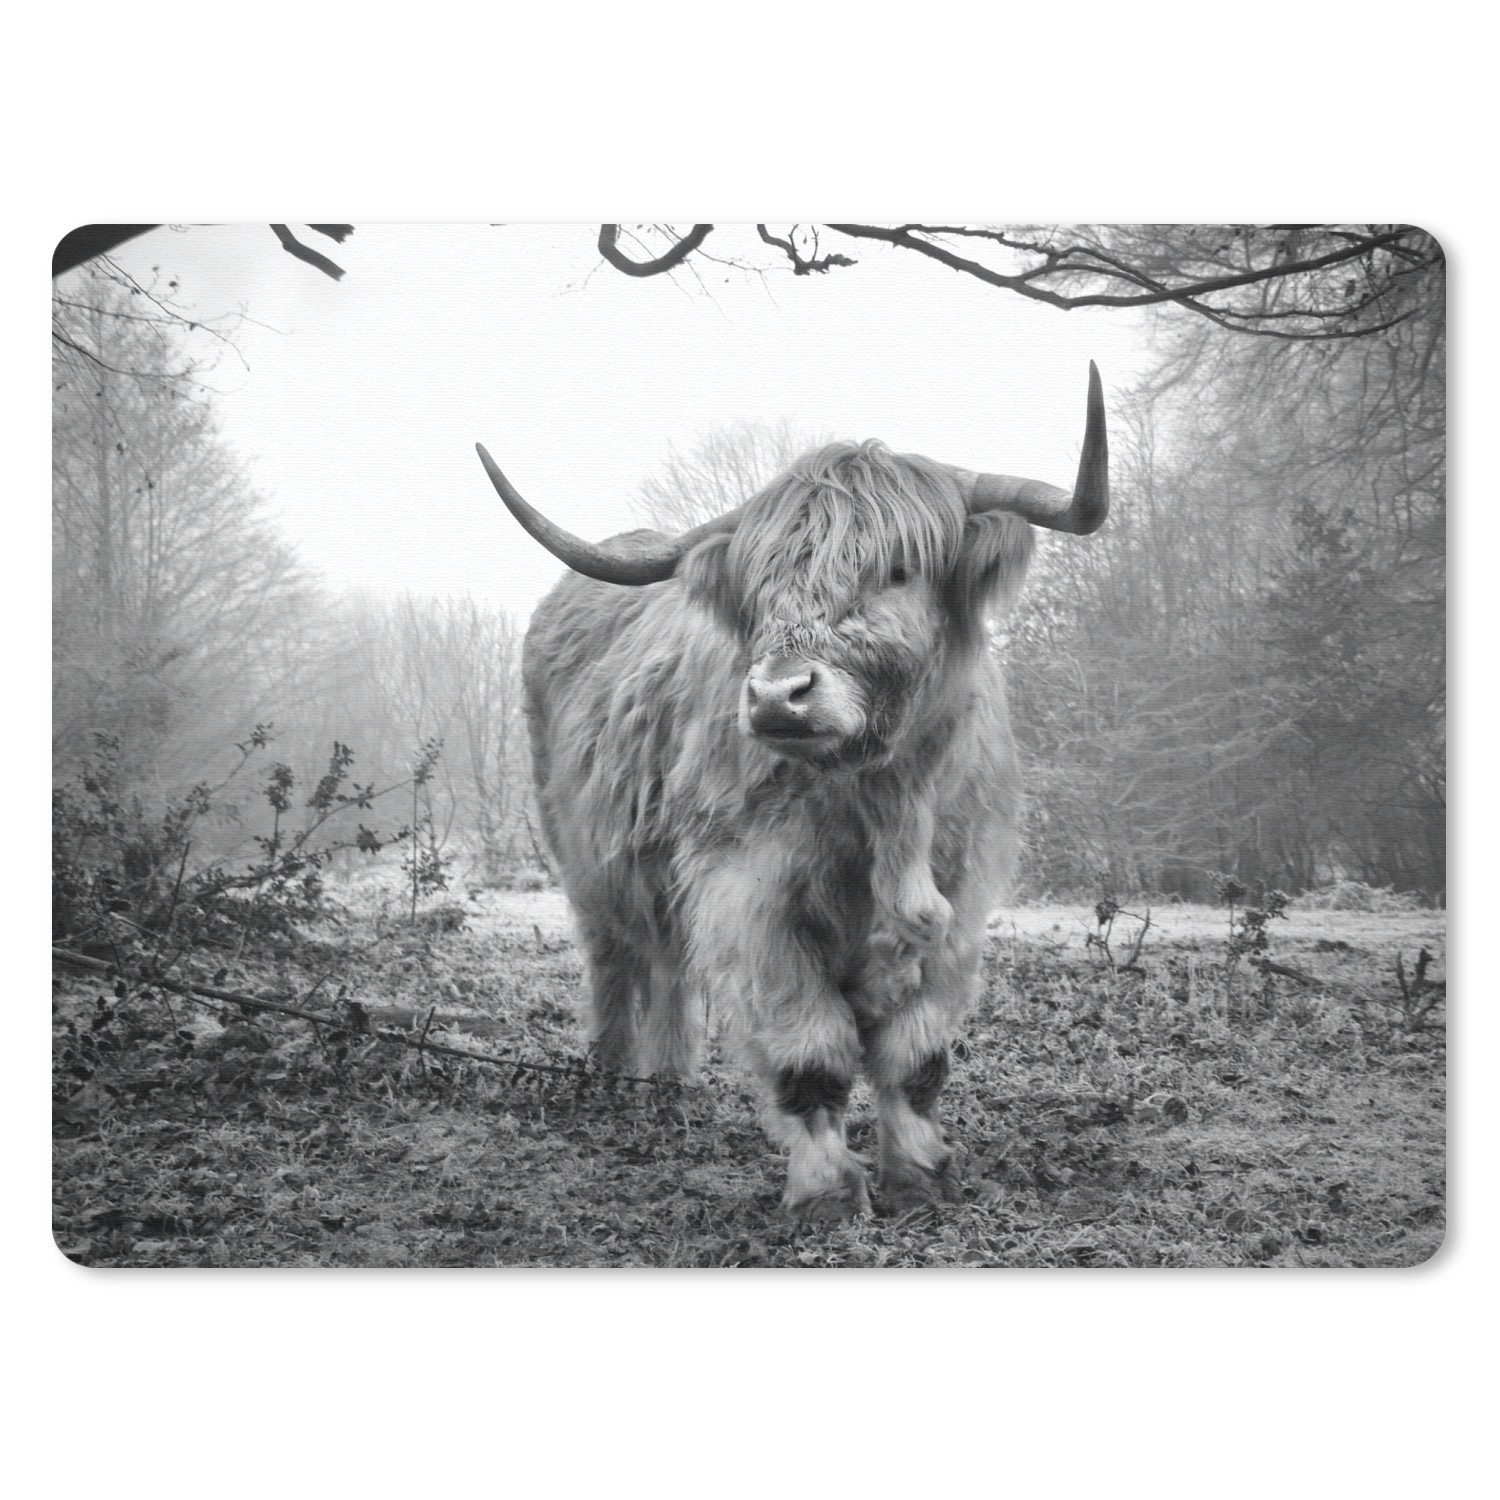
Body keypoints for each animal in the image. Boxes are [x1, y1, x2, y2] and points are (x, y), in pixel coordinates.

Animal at [474, 365, 1109, 1220]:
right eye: (761, 586)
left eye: (898, 570)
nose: (778, 696)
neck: (885, 802)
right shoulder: (752, 897)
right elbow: (812, 1055)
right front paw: (827, 1193)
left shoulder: (961, 900)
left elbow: (916, 1058)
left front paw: (920, 1176)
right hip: (585, 858)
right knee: (616, 961)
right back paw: (614, 1079)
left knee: (669, 967)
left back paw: (669, 1085)